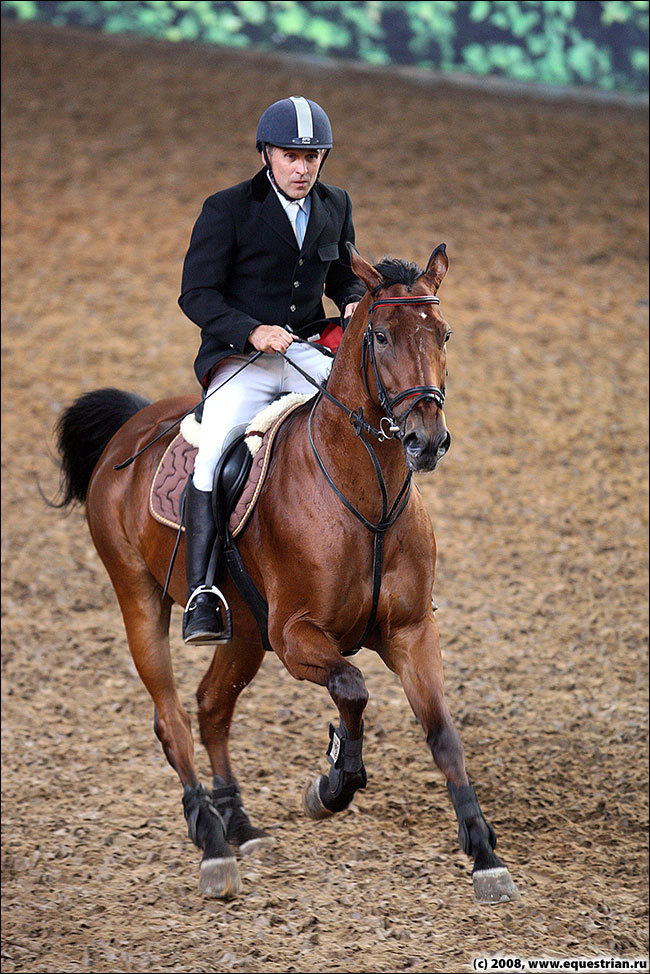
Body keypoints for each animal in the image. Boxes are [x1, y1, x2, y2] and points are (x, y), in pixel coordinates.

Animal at [54, 246, 516, 908]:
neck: (367, 497)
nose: (426, 440)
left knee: (211, 707)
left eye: (444, 333)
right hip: (139, 598)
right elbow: (352, 687)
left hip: (245, 632)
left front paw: (484, 854)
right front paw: (333, 785)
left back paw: (238, 824)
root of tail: (134, 425)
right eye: (379, 335)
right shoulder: (298, 635)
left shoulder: (409, 632)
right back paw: (213, 845)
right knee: (173, 719)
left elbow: (443, 734)